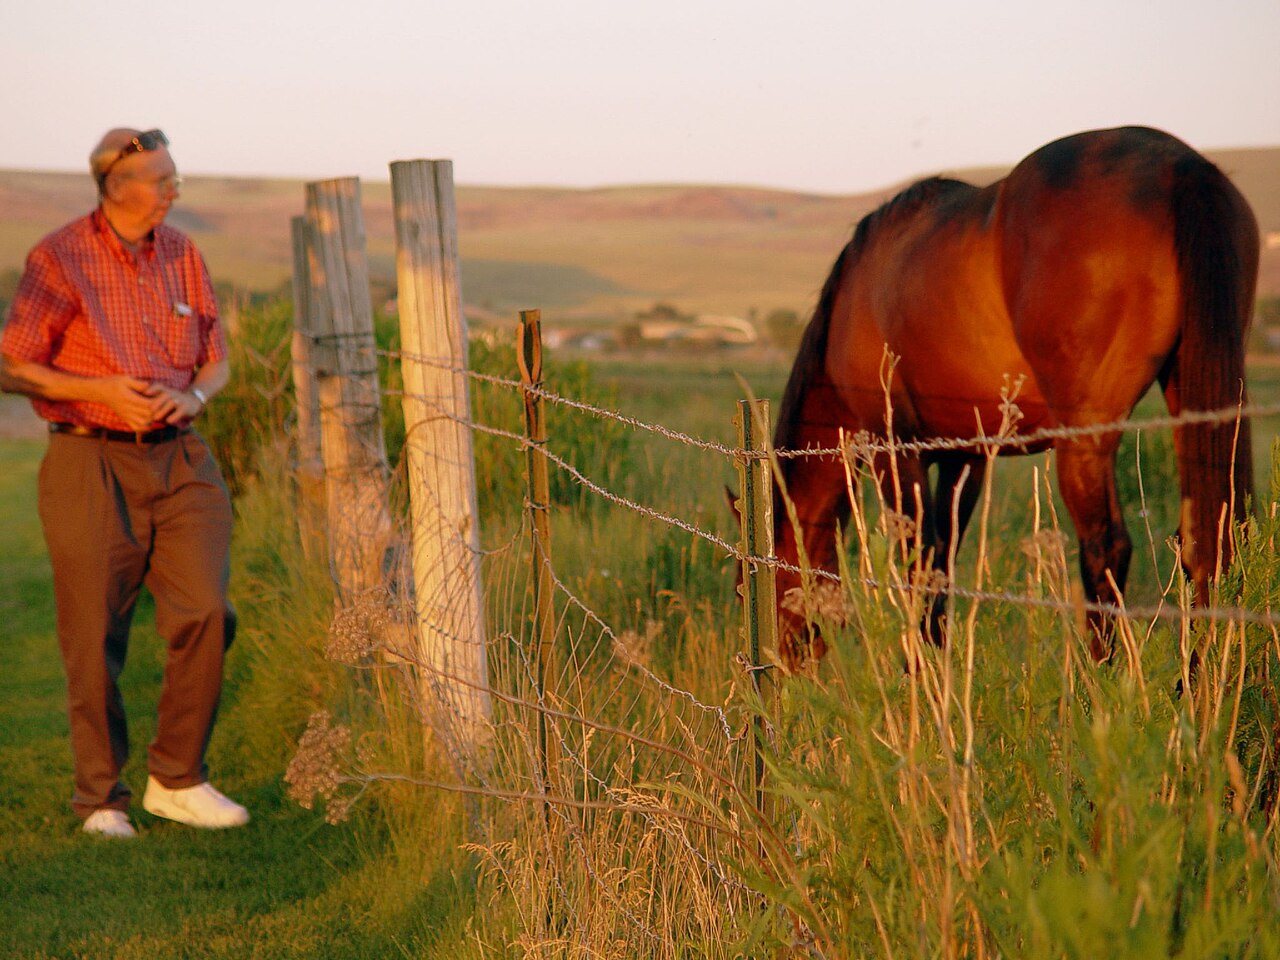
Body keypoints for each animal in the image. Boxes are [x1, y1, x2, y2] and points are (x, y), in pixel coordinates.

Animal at [771, 126, 1259, 670]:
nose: (783, 666)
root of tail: (1179, 165)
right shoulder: (964, 457)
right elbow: (942, 562)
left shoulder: (895, 449)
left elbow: (919, 560)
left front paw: (917, 670)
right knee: (1212, 540)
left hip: (1085, 439)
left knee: (1106, 550)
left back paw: (1100, 678)